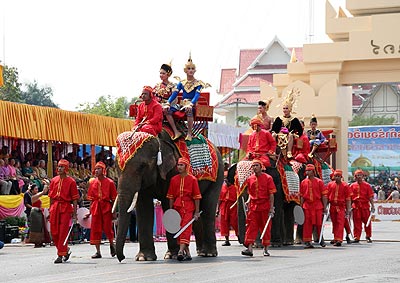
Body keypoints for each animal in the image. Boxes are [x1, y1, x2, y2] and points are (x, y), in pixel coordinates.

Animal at [115, 130, 225, 262]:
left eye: (142, 166)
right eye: (116, 167)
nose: (121, 258)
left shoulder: (173, 171)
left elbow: (169, 203)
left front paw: (172, 255)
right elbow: (143, 207)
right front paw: (144, 258)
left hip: (218, 176)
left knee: (208, 209)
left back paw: (208, 253)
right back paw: (200, 252)